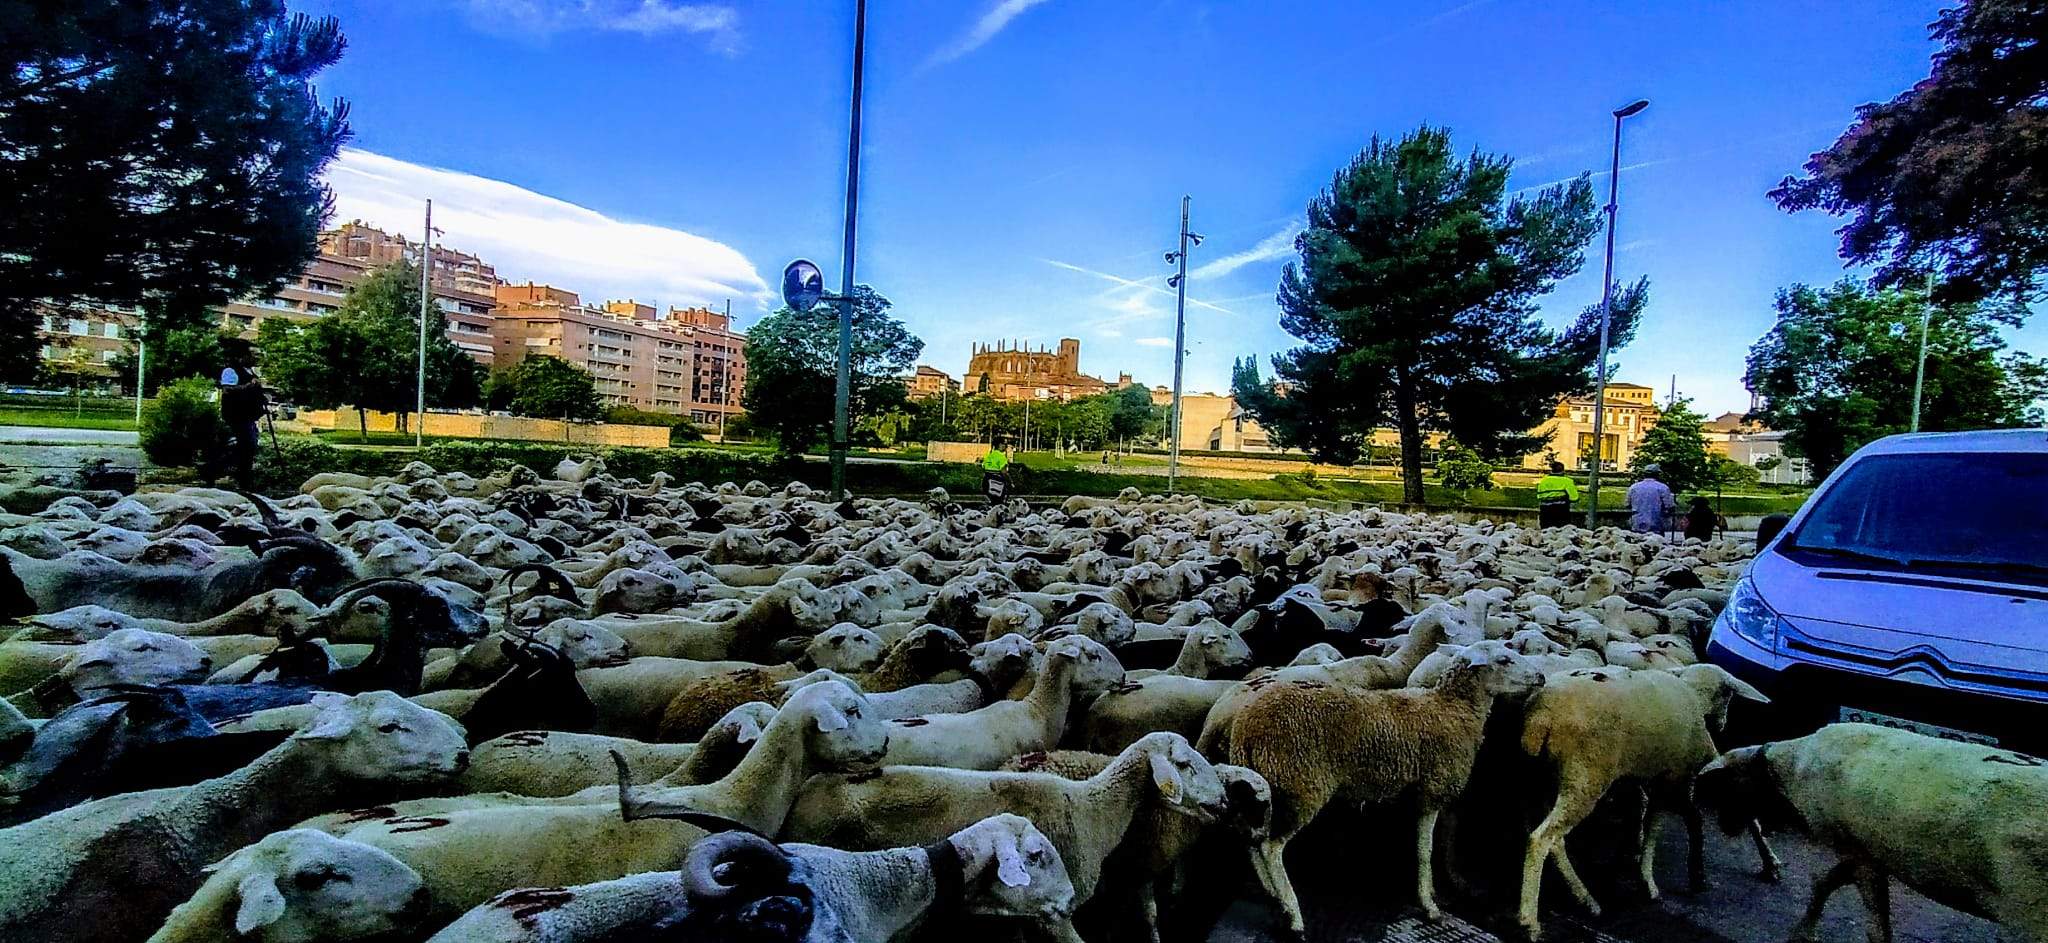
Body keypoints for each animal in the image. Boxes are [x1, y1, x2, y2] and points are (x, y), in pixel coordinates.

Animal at [1223, 645, 1548, 933]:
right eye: (1504, 659)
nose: (1541, 677)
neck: (1451, 708)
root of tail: (1246, 727)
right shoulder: (1431, 791)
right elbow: (1425, 851)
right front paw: (1429, 905)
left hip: (1265, 787)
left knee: (1252, 840)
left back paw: (1272, 893)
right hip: (1299, 785)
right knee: (1271, 847)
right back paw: (1293, 914)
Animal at [1513, 663, 1770, 939]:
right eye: (1728, 695)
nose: (1723, 725)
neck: (1695, 696)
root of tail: (1540, 717)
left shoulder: (1650, 780)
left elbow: (1650, 822)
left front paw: (1645, 871)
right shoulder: (1674, 780)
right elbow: (1684, 821)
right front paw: (1684, 876)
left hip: (1538, 777)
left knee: (1549, 837)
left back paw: (1586, 899)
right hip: (1584, 776)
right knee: (1542, 838)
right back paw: (1530, 921)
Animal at [1698, 724, 2048, 943]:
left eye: (1726, 788)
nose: (1725, 827)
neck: (1786, 772)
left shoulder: (1858, 852)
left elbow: (1876, 926)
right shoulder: (1860, 849)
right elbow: (1825, 882)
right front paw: (1803, 931)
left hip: (2029, 910)